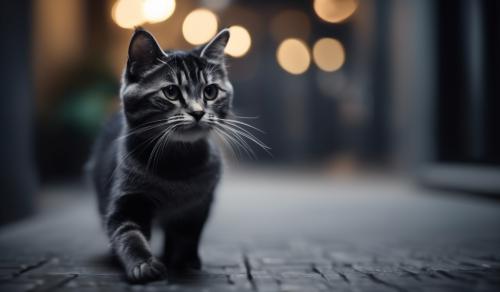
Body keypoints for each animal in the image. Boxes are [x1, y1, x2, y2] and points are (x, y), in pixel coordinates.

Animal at [90, 28, 244, 282]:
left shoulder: (197, 206)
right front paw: (143, 264)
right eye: (171, 92)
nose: (198, 112)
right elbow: (128, 234)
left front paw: (185, 261)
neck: (176, 166)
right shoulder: (127, 199)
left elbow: (187, 236)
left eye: (210, 91)